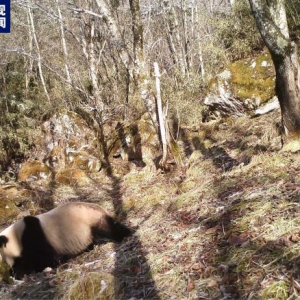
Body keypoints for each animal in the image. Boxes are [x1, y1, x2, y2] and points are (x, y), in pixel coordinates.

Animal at [0, 202, 132, 278]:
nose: (10, 269)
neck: (15, 236)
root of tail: (102, 209)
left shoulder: (33, 238)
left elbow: (42, 259)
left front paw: (19, 272)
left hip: (92, 219)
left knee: (108, 228)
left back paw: (125, 234)